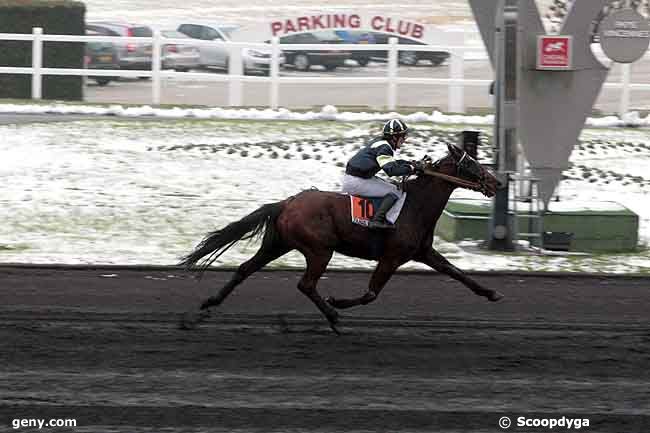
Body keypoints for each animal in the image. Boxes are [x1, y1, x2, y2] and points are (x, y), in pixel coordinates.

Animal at [180, 143, 504, 332]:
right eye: (472, 164)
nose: (497, 182)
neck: (415, 205)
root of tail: (288, 202)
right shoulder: (392, 256)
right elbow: (371, 293)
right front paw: (338, 302)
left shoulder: (423, 252)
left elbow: (457, 272)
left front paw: (492, 293)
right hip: (319, 250)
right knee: (305, 284)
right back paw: (334, 317)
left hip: (278, 244)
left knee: (245, 269)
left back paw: (209, 303)